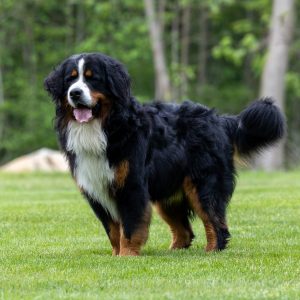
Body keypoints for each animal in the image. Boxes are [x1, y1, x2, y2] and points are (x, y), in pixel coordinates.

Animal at [44, 51, 284, 255]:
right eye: (70, 79)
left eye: (92, 78)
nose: (75, 93)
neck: (103, 127)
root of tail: (220, 119)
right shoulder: (96, 189)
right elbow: (112, 230)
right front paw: (116, 254)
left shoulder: (131, 185)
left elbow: (129, 227)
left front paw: (127, 255)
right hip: (169, 192)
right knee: (185, 232)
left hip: (204, 183)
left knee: (216, 223)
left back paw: (212, 251)